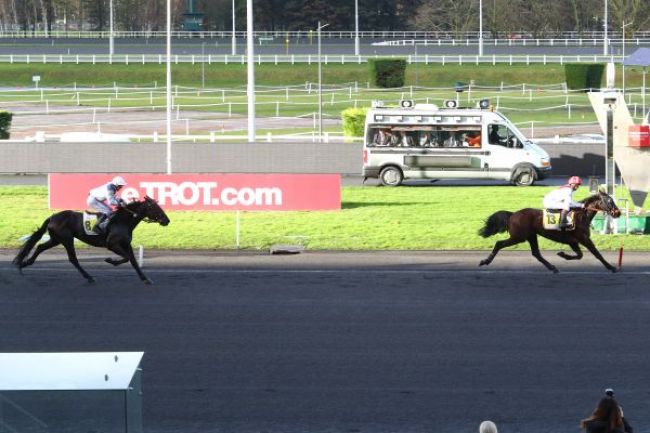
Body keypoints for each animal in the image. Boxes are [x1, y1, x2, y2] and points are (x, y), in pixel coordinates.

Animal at [13, 196, 170, 284]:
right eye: (155, 207)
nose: (167, 220)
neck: (123, 221)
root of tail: (53, 216)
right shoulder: (112, 244)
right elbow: (126, 258)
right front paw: (110, 261)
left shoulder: (126, 244)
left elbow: (133, 260)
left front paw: (145, 279)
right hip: (66, 239)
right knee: (72, 259)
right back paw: (89, 277)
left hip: (56, 239)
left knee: (39, 247)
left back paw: (24, 263)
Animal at [478, 190, 621, 273]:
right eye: (609, 200)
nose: (618, 213)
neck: (581, 216)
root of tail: (512, 214)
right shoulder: (583, 238)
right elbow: (597, 254)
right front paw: (612, 267)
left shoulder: (573, 241)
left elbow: (580, 255)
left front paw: (563, 254)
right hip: (519, 236)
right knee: (499, 244)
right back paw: (485, 261)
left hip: (531, 235)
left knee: (536, 253)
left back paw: (552, 267)